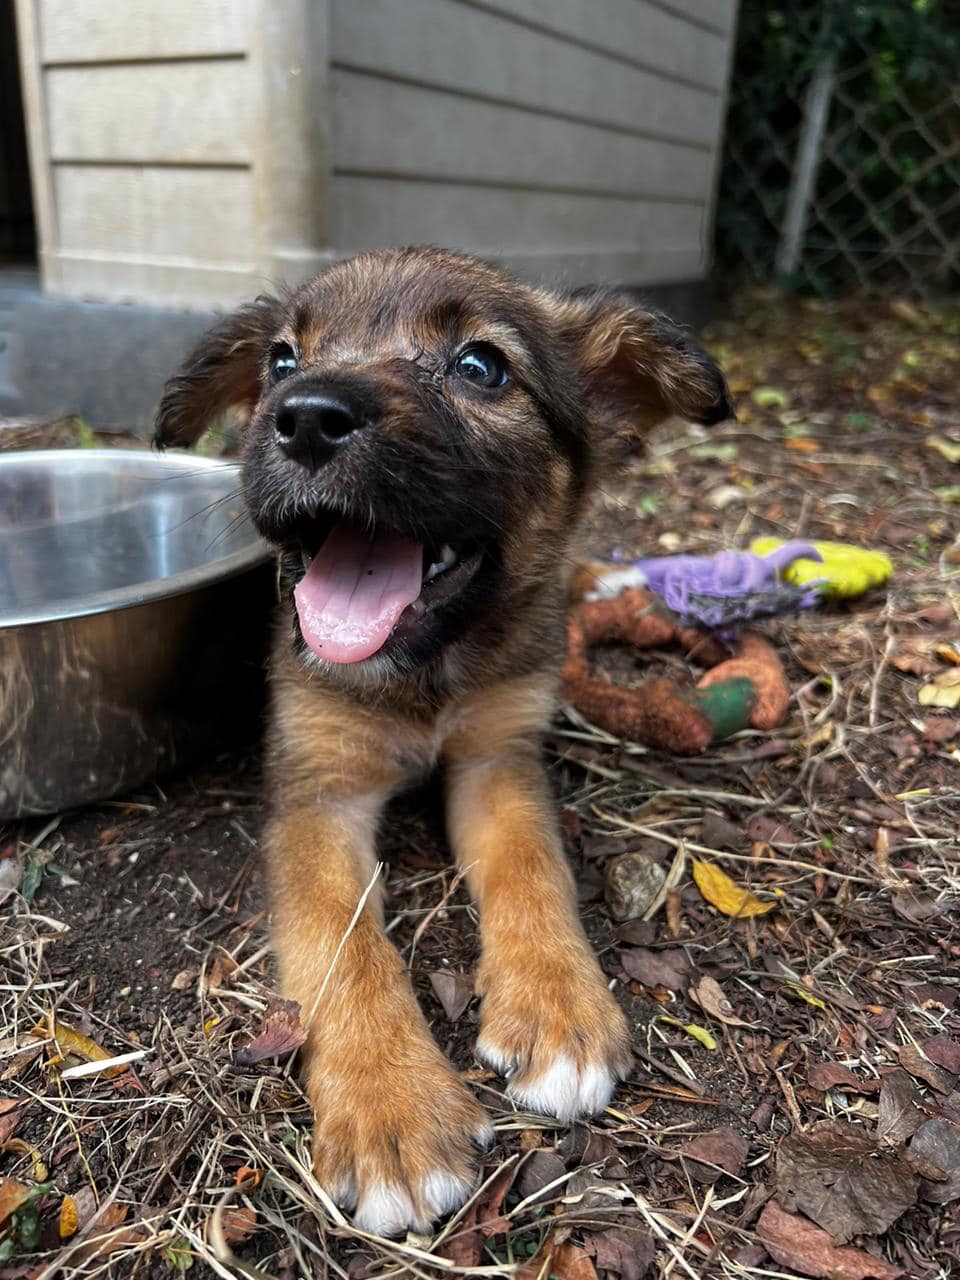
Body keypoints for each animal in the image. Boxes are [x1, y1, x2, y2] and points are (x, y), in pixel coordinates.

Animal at [154, 244, 732, 1233]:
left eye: (480, 367)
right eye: (280, 360)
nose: (305, 418)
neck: (425, 672)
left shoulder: (500, 756)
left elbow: (534, 869)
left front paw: (561, 1010)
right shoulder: (317, 792)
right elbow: (343, 940)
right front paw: (392, 1110)